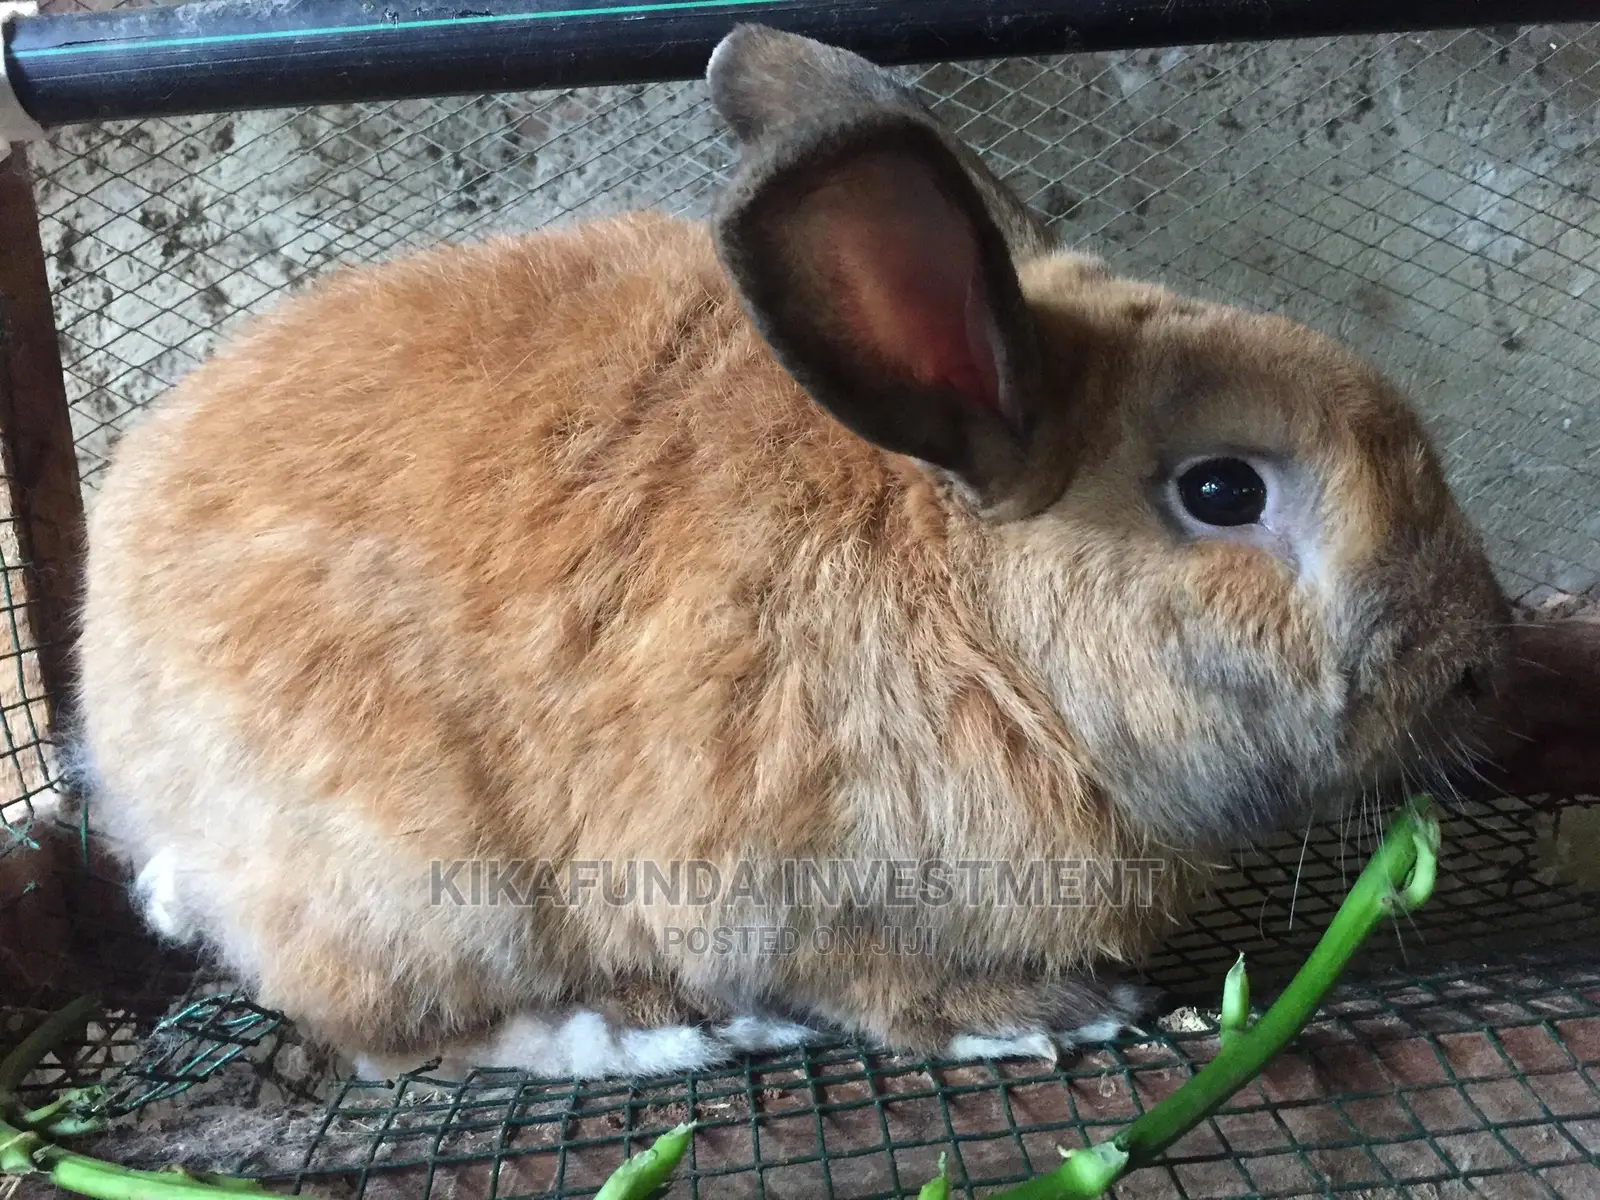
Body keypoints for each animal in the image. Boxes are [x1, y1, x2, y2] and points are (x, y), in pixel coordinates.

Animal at [71, 24, 1511, 1082]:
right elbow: (884, 989)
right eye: (1222, 490)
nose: (1482, 664)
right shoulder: (798, 893)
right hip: (425, 890)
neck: (991, 632)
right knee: (396, 1041)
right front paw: (1046, 1015)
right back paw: (639, 1038)